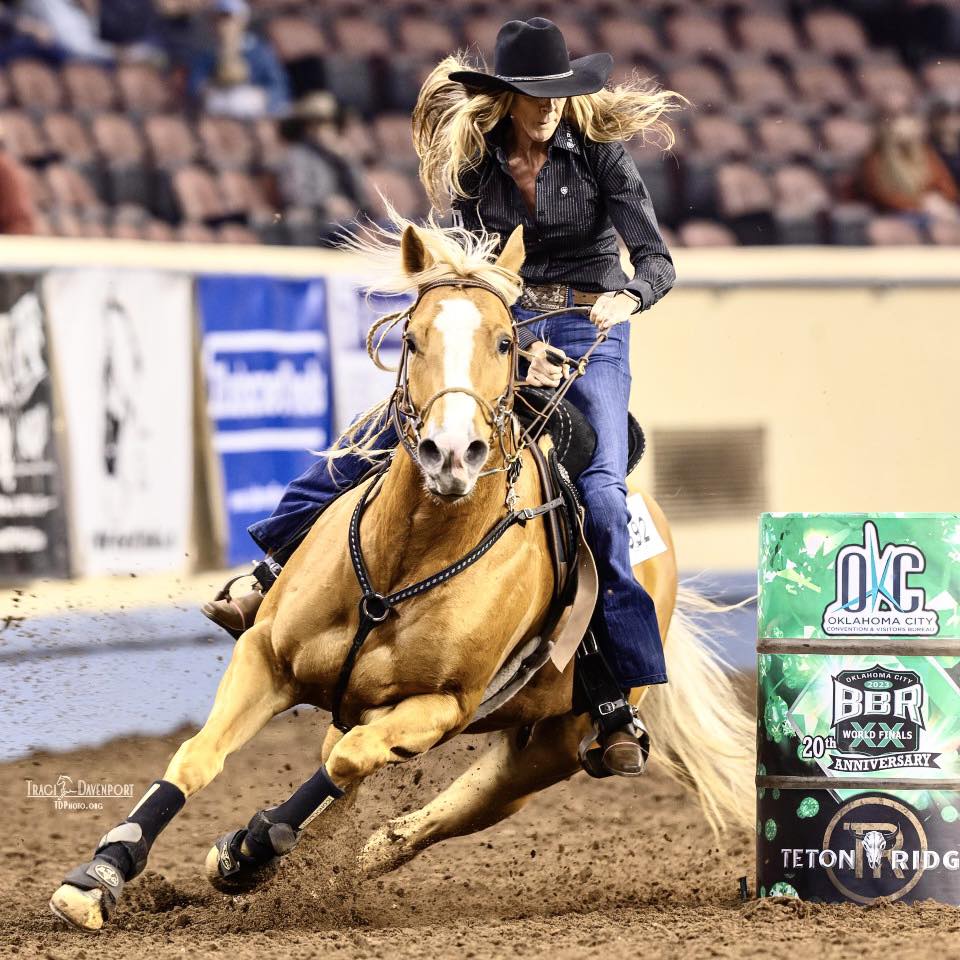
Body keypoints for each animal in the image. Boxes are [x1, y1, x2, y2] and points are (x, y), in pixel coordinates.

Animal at [50, 219, 753, 933]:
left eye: (505, 341)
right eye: (411, 339)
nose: (452, 453)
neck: (405, 560)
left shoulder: (439, 708)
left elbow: (347, 762)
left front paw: (250, 849)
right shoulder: (266, 656)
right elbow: (198, 756)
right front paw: (100, 875)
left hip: (552, 744)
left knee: (444, 806)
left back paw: (308, 862)